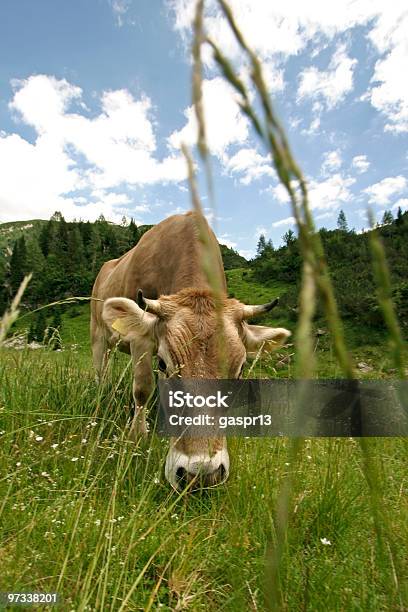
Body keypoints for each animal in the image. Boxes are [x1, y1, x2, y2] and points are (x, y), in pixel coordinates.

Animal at [91, 213, 290, 490]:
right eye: (163, 364)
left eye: (240, 370)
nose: (202, 474)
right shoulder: (141, 340)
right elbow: (142, 388)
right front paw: (137, 436)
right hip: (98, 334)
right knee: (101, 370)